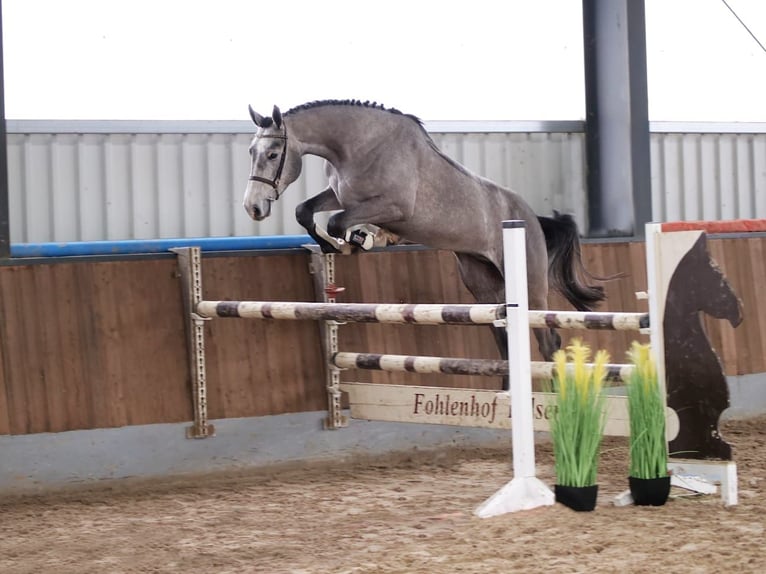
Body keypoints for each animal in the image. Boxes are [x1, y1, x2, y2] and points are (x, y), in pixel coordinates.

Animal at [244, 98, 608, 360]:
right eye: (251, 151)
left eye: (273, 154)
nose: (253, 208)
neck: (360, 146)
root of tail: (532, 218)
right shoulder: (340, 195)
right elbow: (304, 210)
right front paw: (334, 244)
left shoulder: (394, 207)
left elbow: (338, 221)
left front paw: (358, 240)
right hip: (484, 287)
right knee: (504, 342)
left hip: (530, 287)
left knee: (548, 342)